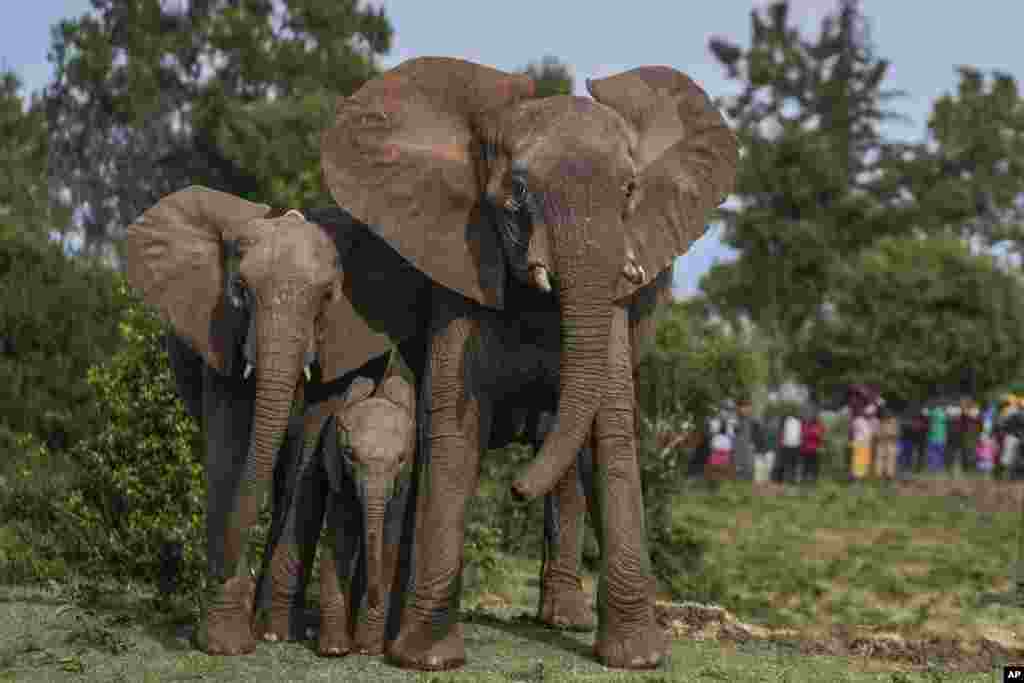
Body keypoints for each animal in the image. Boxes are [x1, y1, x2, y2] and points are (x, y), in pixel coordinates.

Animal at [315, 57, 741, 667]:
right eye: (516, 192)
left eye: (630, 190)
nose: (516, 489)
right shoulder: (463, 267)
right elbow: (453, 430)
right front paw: (426, 657)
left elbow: (610, 431)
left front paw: (637, 659)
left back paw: (563, 618)